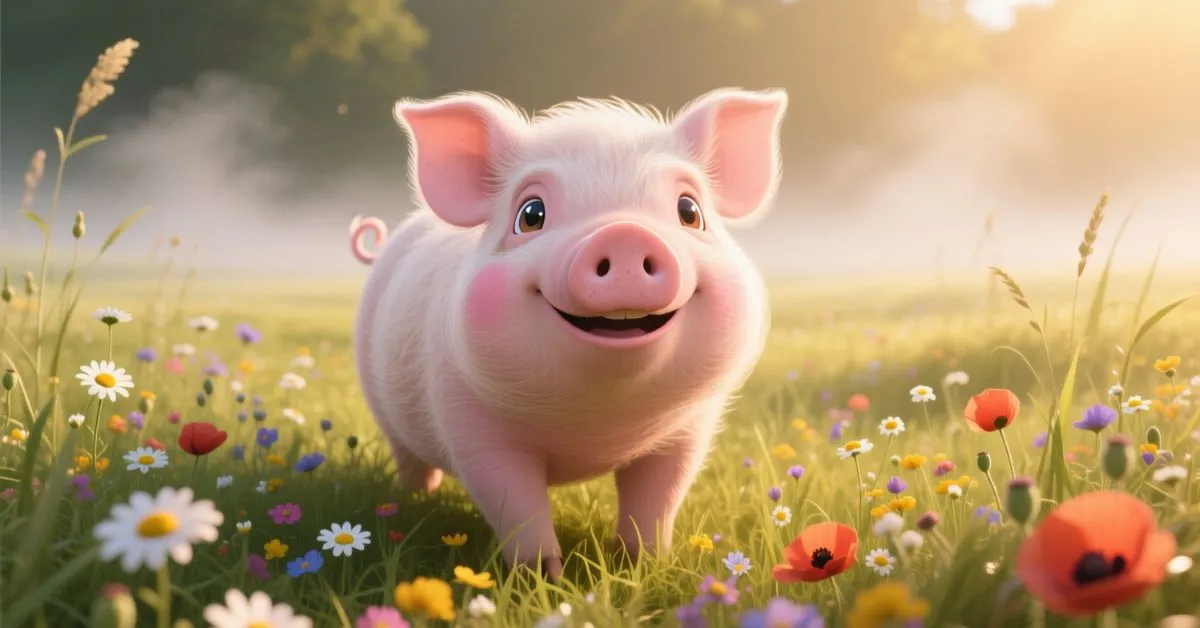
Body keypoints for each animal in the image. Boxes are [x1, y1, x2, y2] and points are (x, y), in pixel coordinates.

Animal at [351, 87, 788, 580]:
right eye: (531, 215)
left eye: (689, 211)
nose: (624, 233)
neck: (596, 425)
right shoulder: (469, 423)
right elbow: (514, 501)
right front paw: (541, 579)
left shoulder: (687, 429)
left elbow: (658, 496)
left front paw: (643, 567)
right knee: (409, 458)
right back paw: (415, 498)